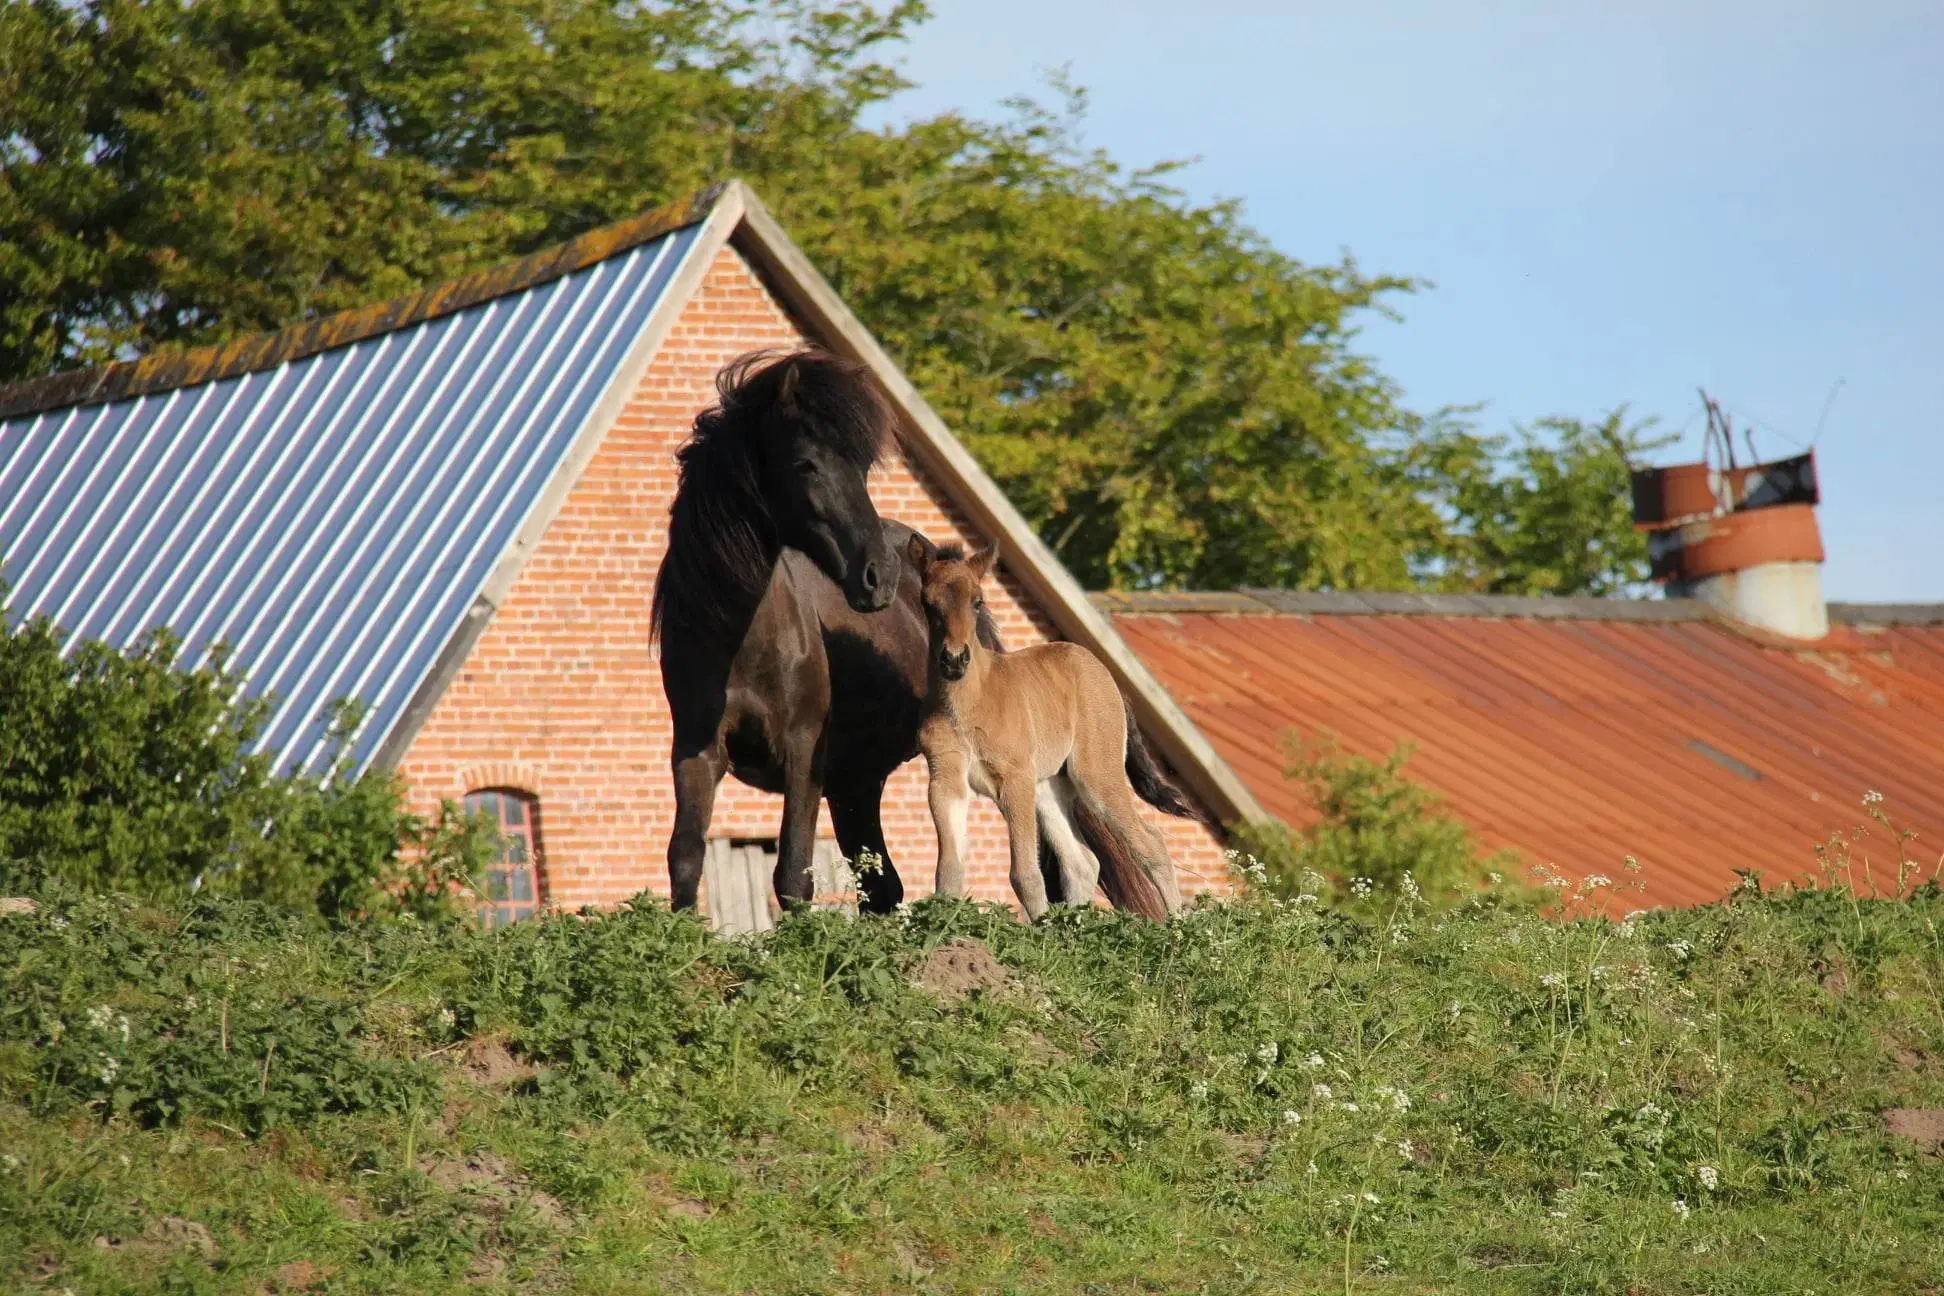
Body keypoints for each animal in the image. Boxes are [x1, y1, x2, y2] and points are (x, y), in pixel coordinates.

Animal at [653, 349, 1197, 917]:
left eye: (861, 467)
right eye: (805, 463)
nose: (878, 575)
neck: (739, 640)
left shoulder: (804, 753)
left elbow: (794, 875)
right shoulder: (695, 752)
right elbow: (685, 861)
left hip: (1067, 777)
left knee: (1122, 850)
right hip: (869, 782)